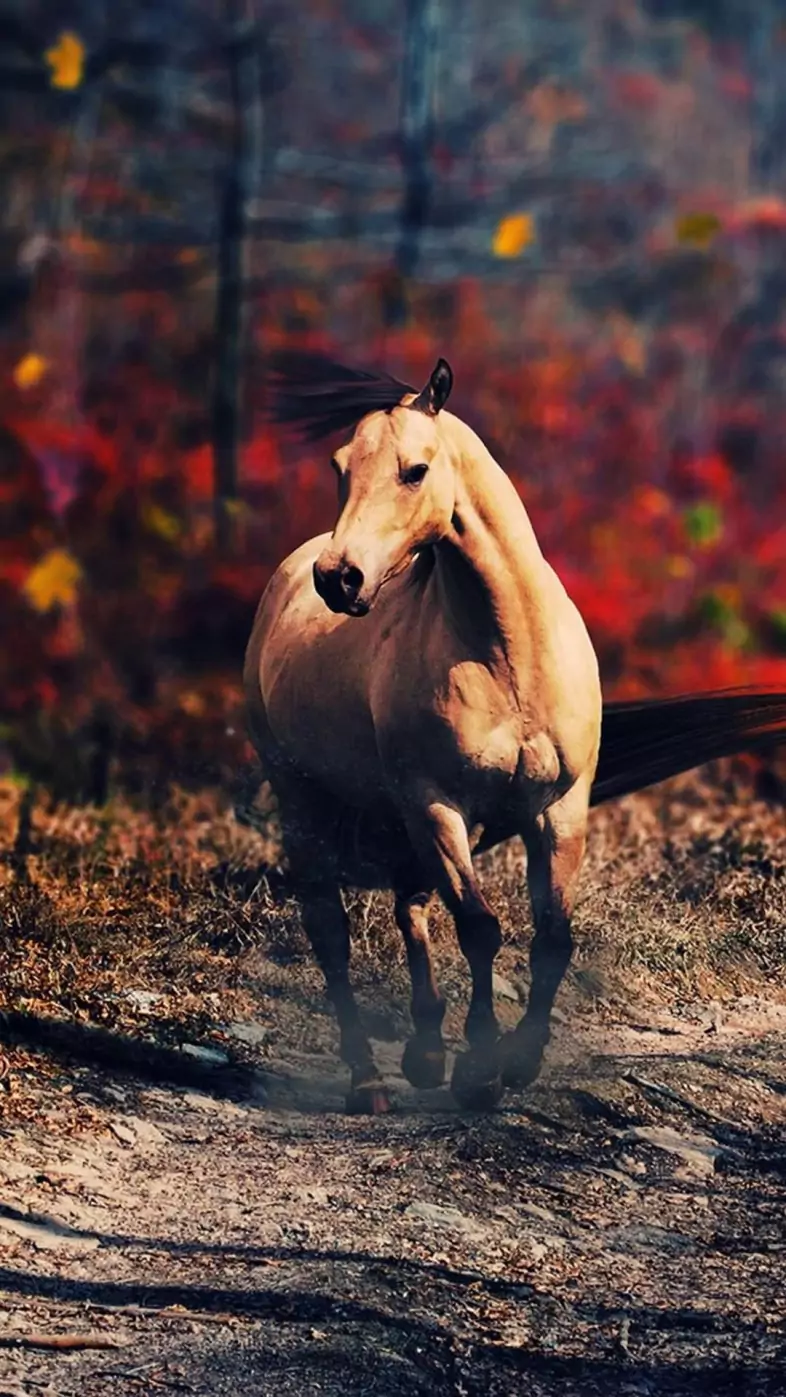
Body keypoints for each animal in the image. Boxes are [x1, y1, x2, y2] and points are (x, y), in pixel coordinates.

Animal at [244, 350, 786, 1115]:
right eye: (340, 465)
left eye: (415, 469)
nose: (339, 578)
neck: (508, 653)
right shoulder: (438, 802)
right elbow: (480, 927)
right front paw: (480, 1068)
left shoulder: (557, 807)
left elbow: (552, 934)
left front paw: (519, 1059)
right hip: (308, 800)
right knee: (333, 931)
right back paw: (370, 1079)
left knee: (410, 905)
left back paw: (424, 1054)